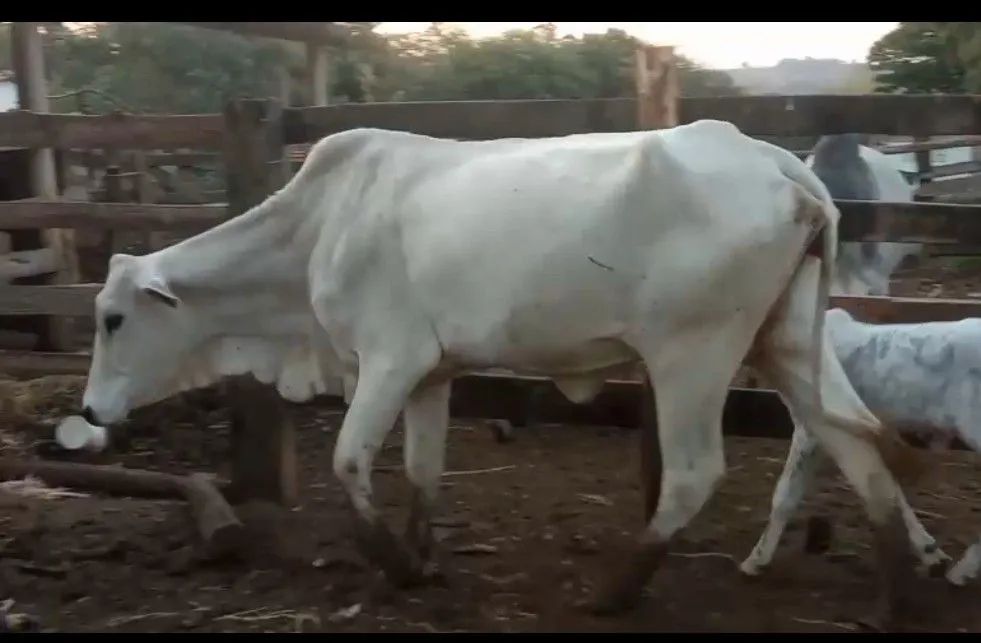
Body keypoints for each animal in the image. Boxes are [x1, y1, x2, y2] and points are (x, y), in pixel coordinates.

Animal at [79, 121, 922, 624]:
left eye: (113, 317)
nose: (89, 411)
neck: (318, 226)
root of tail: (779, 165)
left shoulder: (388, 359)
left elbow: (348, 459)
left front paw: (394, 564)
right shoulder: (430, 374)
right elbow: (421, 470)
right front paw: (421, 556)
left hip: (693, 351)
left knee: (692, 472)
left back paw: (614, 590)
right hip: (782, 341)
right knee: (855, 438)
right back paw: (892, 592)